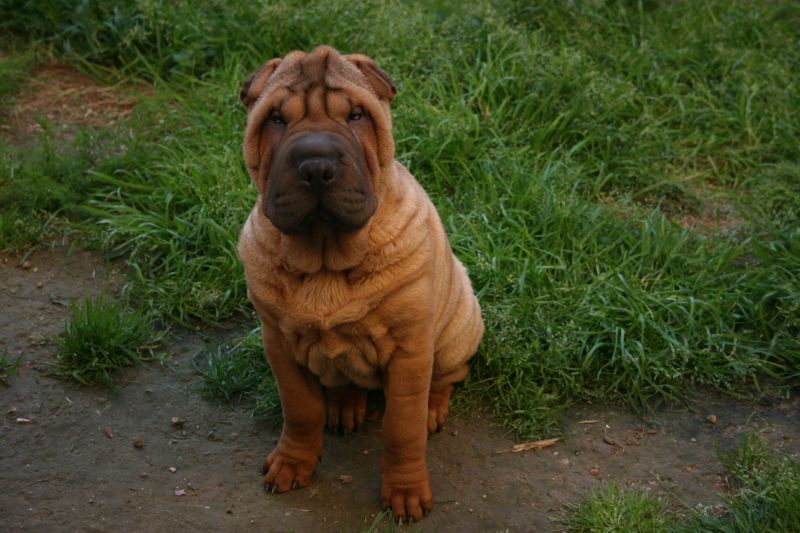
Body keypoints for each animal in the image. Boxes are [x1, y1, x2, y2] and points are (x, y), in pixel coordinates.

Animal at [238, 44, 484, 520]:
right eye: (275, 119)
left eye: (356, 115)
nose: (316, 166)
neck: (325, 259)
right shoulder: (278, 343)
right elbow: (300, 409)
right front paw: (292, 462)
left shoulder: (410, 351)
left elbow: (401, 427)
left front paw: (405, 493)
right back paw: (345, 404)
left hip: (457, 329)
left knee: (447, 376)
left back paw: (432, 407)